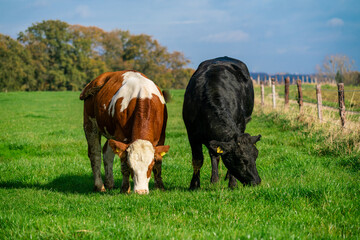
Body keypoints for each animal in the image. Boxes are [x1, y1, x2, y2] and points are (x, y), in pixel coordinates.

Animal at [183, 56, 262, 189]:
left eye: (256, 156)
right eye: (242, 160)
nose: (257, 181)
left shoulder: (240, 125)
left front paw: (233, 184)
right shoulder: (192, 134)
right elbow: (198, 159)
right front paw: (194, 185)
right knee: (213, 155)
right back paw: (214, 180)